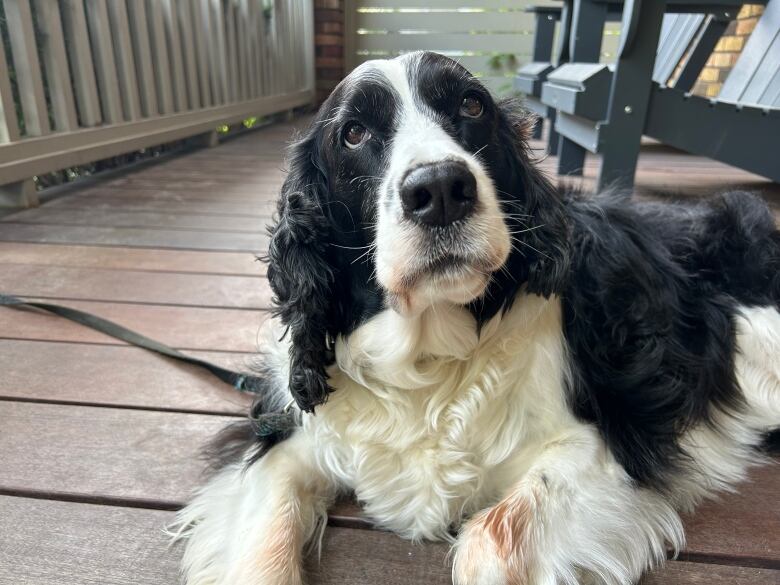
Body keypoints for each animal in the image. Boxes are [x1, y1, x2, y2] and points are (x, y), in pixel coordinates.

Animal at [177, 51, 780, 584]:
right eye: (353, 134)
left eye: (471, 105)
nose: (440, 188)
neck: (428, 360)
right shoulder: (287, 441)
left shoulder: (601, 449)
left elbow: (491, 538)